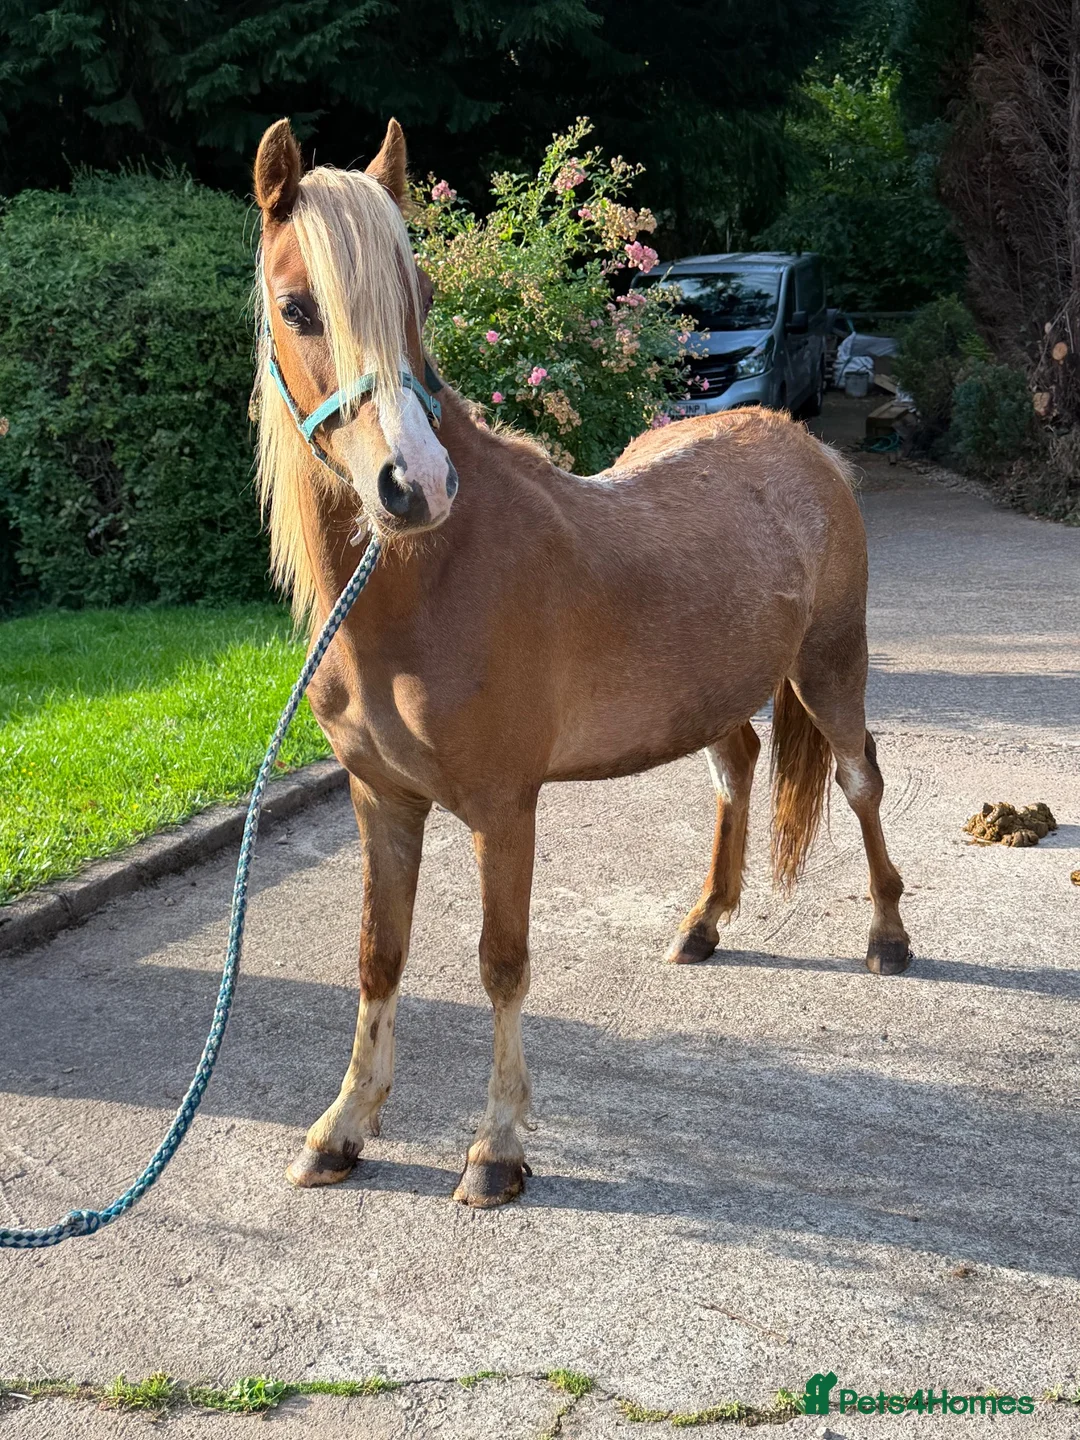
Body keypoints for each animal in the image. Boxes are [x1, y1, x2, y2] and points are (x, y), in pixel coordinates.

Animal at [251, 118, 911, 1209]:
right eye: (296, 305)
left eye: (419, 296)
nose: (413, 486)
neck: (430, 581)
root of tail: (802, 445)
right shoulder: (380, 798)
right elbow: (379, 957)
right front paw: (340, 1129)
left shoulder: (504, 807)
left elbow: (502, 962)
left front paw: (498, 1149)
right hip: (714, 696)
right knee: (736, 768)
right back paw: (702, 923)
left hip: (832, 671)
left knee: (862, 782)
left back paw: (888, 940)